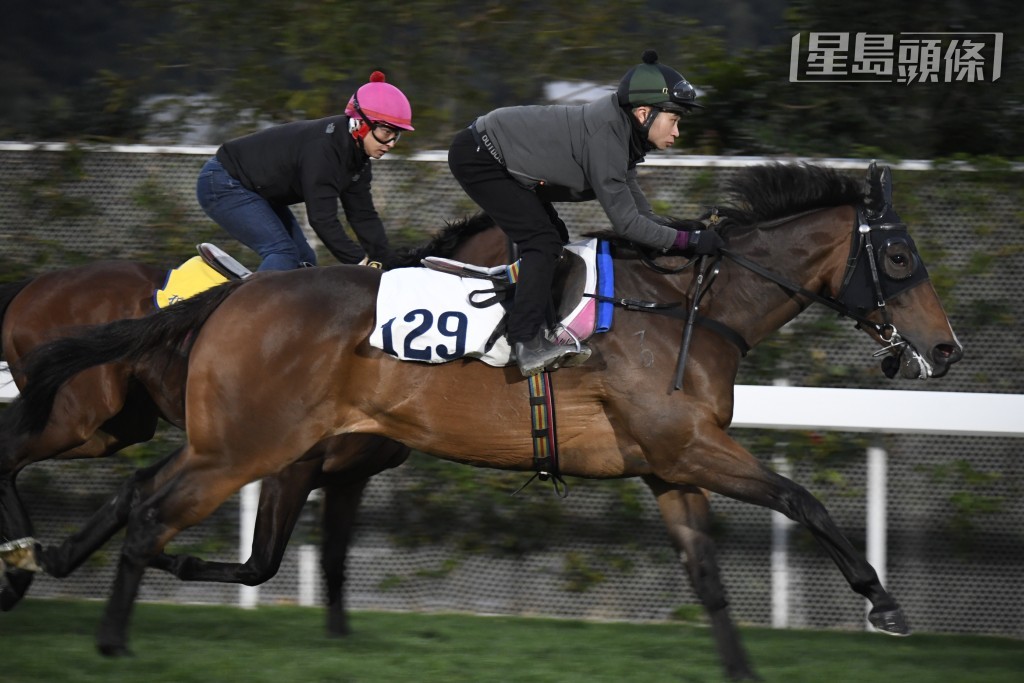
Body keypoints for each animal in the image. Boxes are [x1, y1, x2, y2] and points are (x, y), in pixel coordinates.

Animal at [2, 162, 958, 679]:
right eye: (899, 255)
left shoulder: (669, 464)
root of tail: (234, 298)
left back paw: (55, 561)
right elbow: (804, 500)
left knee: (139, 493)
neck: (686, 308)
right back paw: (103, 629)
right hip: (234, 441)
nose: (945, 350)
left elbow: (710, 577)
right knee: (139, 506)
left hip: (220, 439)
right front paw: (884, 603)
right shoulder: (690, 444)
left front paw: (744, 666)